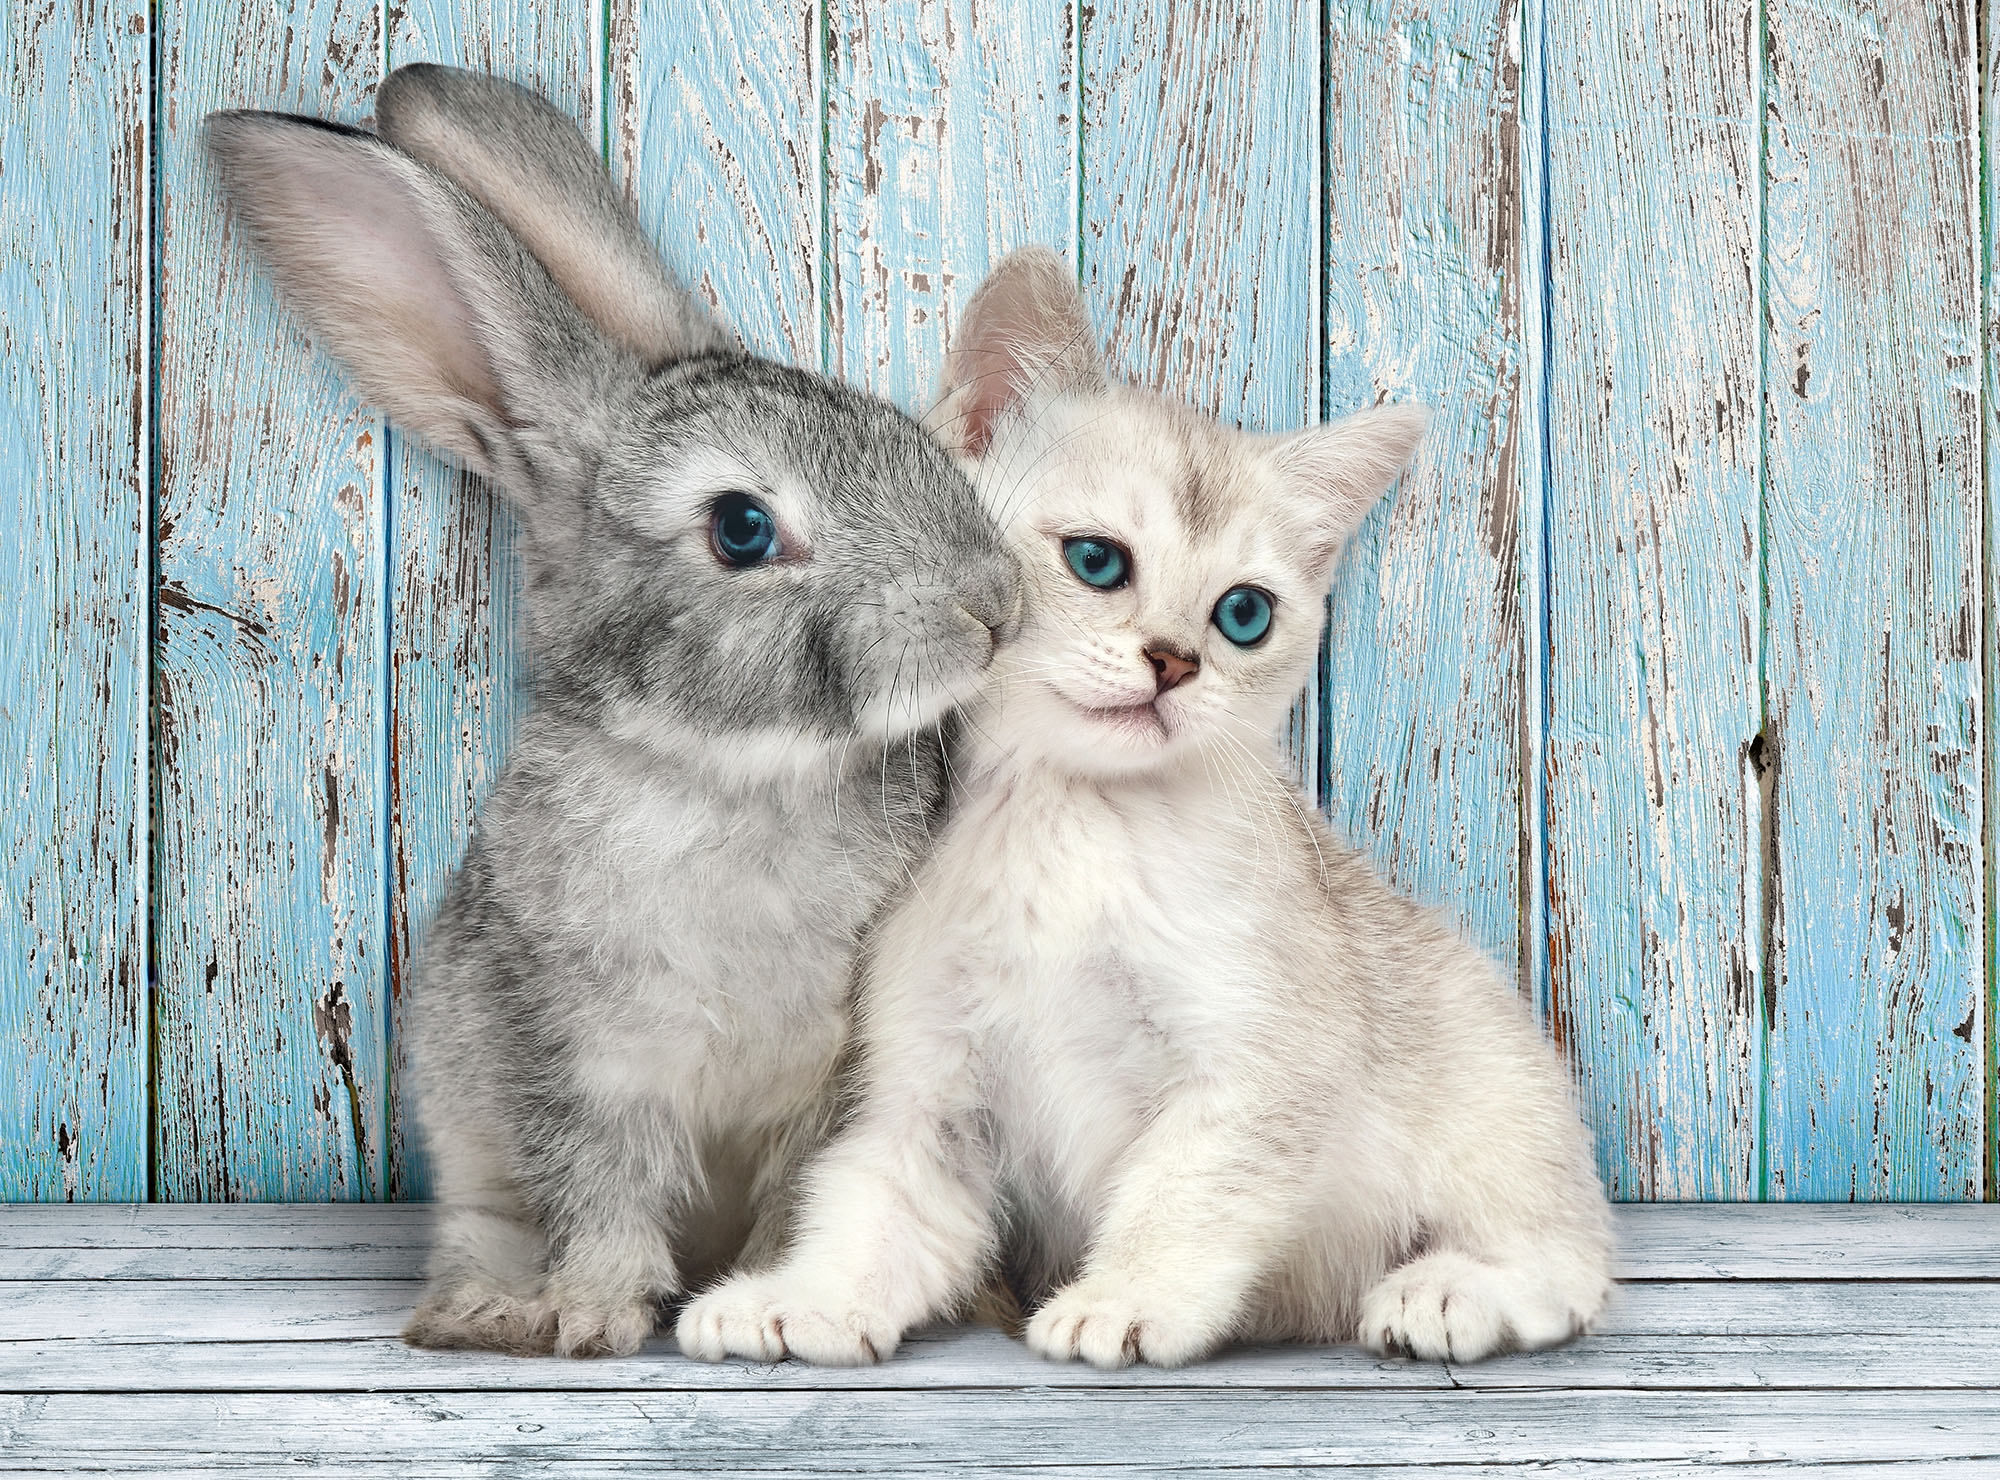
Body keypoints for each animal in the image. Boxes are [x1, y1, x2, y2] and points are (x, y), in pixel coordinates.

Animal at [204, 63, 1020, 1359]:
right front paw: (591, 1317)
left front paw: (758, 1299)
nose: (990, 605)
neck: (726, 777)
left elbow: (794, 1195)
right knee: (482, 1228)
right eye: (741, 527)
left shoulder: (829, 1077)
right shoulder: (569, 1060)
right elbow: (598, 1193)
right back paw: (474, 1312)